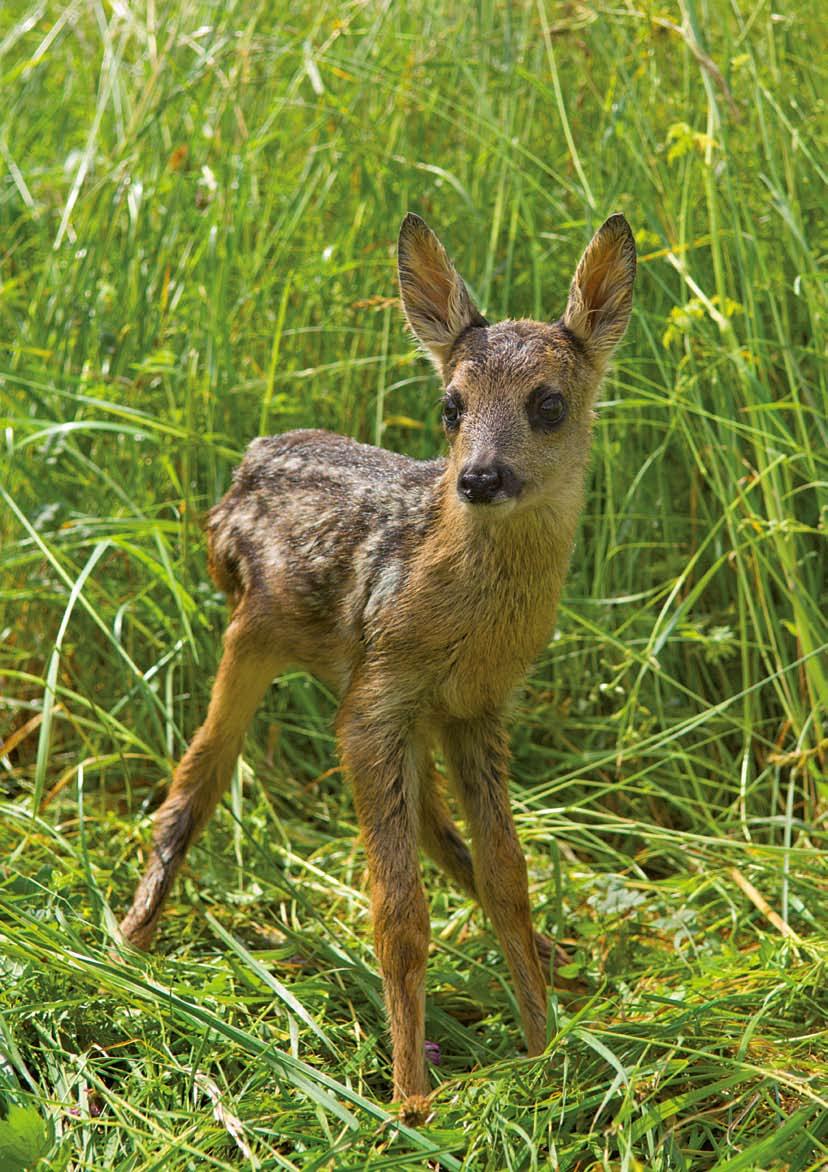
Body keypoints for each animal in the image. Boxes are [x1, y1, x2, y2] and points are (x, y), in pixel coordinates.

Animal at [120, 210, 633, 1115]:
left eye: (549, 404)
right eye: (450, 405)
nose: (480, 477)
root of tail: (239, 473)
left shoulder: (476, 706)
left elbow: (507, 877)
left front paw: (543, 1051)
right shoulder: (381, 705)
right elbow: (399, 916)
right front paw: (409, 1101)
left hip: (367, 687)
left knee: (430, 820)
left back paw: (560, 963)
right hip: (257, 634)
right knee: (197, 775)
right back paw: (128, 945)